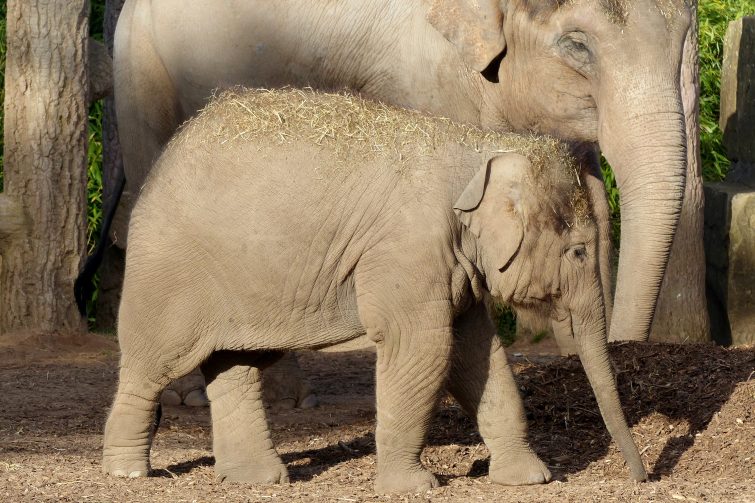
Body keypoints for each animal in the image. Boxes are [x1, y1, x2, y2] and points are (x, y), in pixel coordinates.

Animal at [102, 88, 647, 492]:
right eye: (579, 252)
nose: (641, 478)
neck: (477, 144)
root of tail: (161, 160)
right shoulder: (408, 249)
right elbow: (422, 349)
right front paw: (415, 486)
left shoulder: (452, 266)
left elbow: (477, 354)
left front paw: (530, 479)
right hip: (167, 270)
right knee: (153, 362)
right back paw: (128, 470)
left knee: (237, 366)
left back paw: (258, 479)